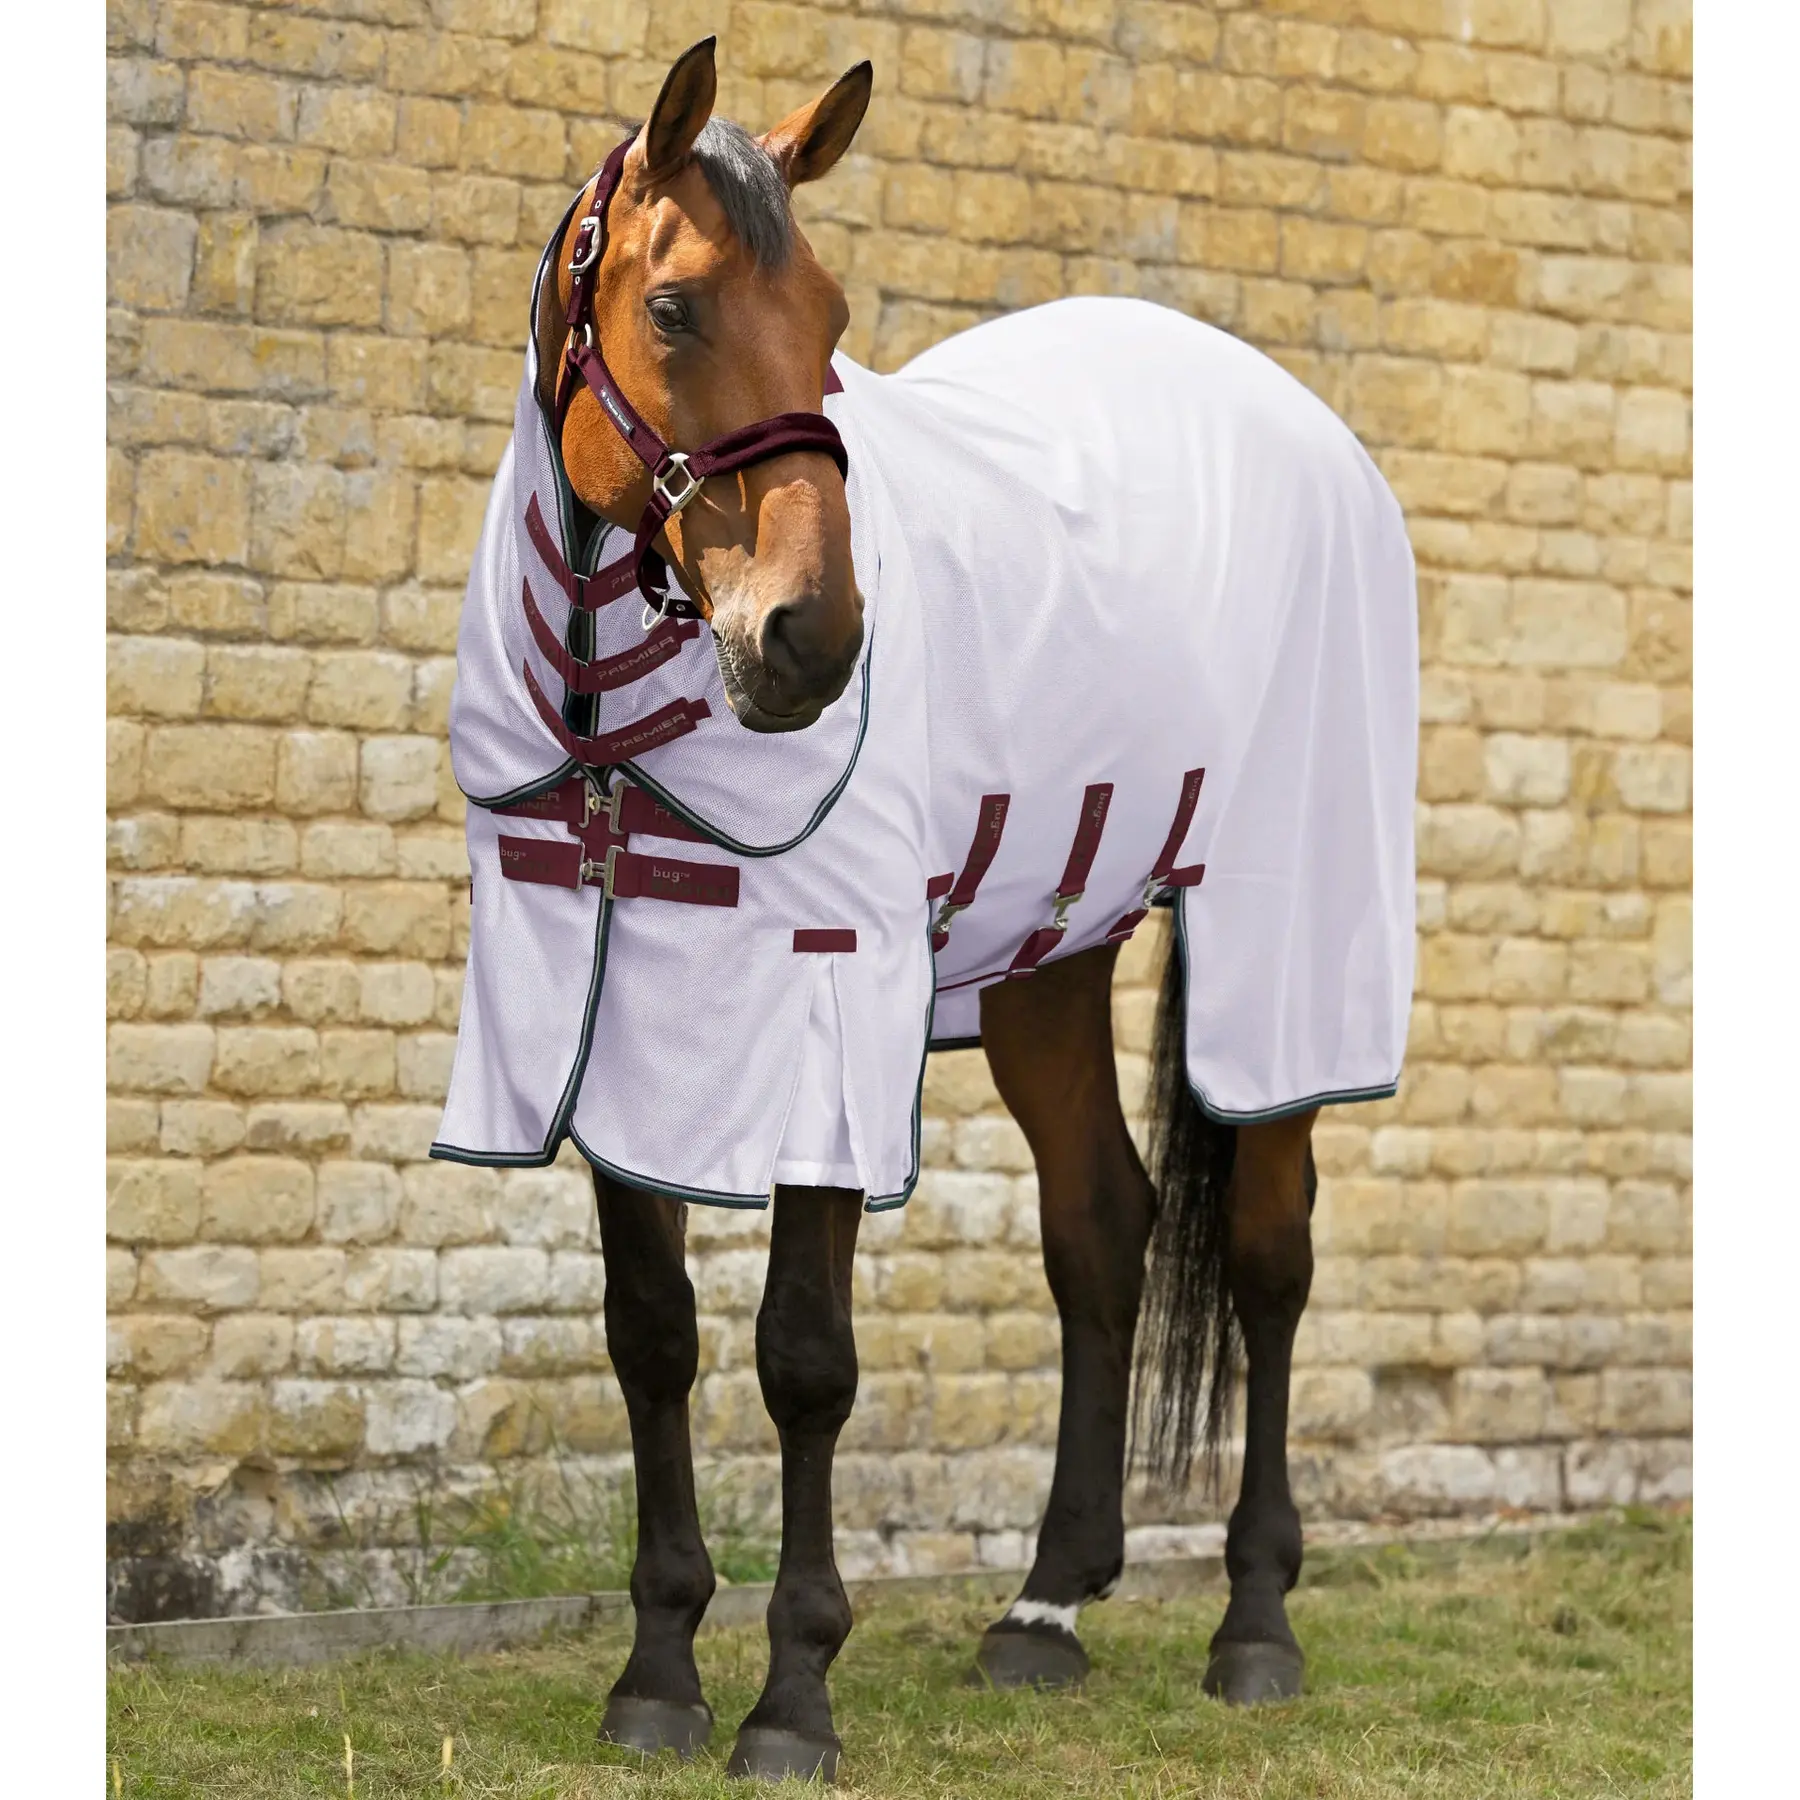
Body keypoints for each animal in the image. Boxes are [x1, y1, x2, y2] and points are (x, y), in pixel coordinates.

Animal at [432, 37, 1418, 1784]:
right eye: (673, 306)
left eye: (830, 314)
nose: (812, 640)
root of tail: (1300, 421)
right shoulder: (604, 1003)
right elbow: (652, 1331)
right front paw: (658, 1676)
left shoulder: (832, 997)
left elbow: (805, 1361)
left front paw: (791, 1699)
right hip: (1049, 953)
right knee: (1100, 1226)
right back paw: (1046, 1609)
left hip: (1290, 939)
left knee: (1266, 1252)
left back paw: (1254, 1625)